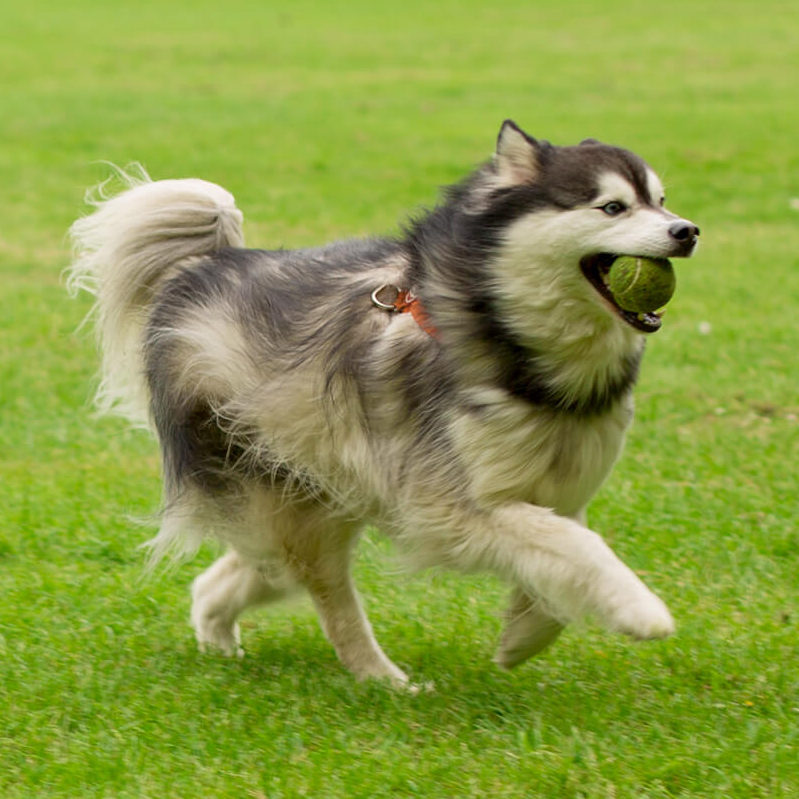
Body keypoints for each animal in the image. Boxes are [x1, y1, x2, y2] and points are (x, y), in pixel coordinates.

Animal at [72, 122, 704, 684]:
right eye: (612, 208)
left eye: (661, 201)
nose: (688, 231)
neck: (521, 356)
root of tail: (203, 271)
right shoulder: (447, 507)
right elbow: (579, 547)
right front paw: (640, 611)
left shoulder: (560, 492)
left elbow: (561, 556)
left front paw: (523, 638)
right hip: (288, 498)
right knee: (330, 600)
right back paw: (384, 679)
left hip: (322, 496)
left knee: (244, 574)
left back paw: (220, 641)